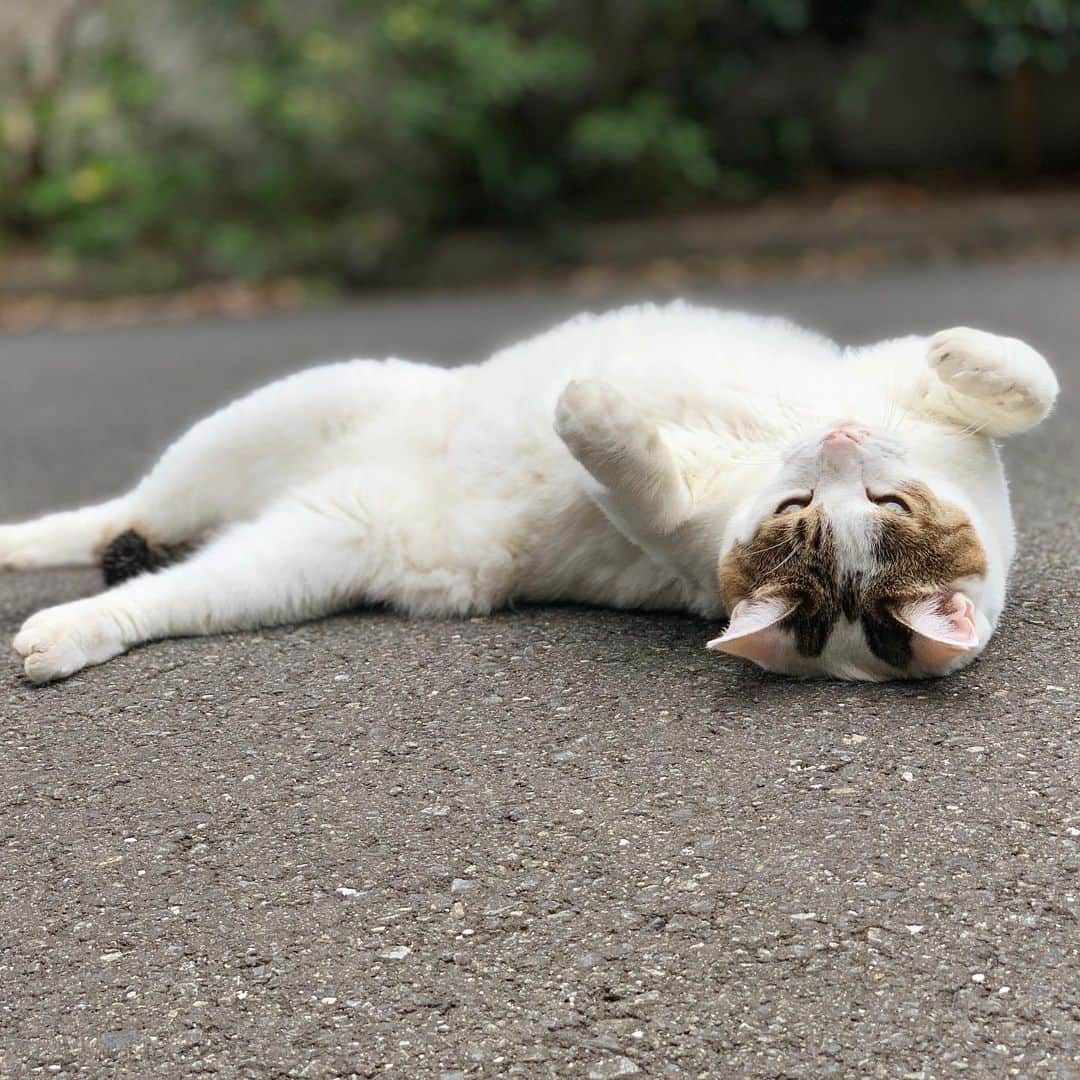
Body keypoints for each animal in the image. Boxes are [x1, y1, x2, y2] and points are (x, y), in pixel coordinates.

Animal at [0, 300, 1058, 678]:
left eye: (877, 511)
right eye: (799, 510)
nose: (834, 441)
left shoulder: (672, 534)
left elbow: (632, 472)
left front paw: (587, 405)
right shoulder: (893, 382)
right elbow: (1033, 378)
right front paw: (961, 351)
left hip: (294, 559)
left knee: (159, 584)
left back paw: (61, 634)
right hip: (266, 418)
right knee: (120, 513)